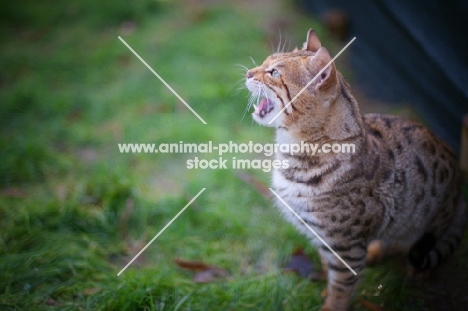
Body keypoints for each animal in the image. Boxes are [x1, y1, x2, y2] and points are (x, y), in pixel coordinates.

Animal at [245, 28, 464, 310]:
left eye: (273, 73)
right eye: (265, 62)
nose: (248, 73)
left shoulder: (345, 245)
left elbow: (341, 284)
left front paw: (332, 305)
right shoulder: (323, 238)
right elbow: (329, 269)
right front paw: (327, 291)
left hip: (429, 222)